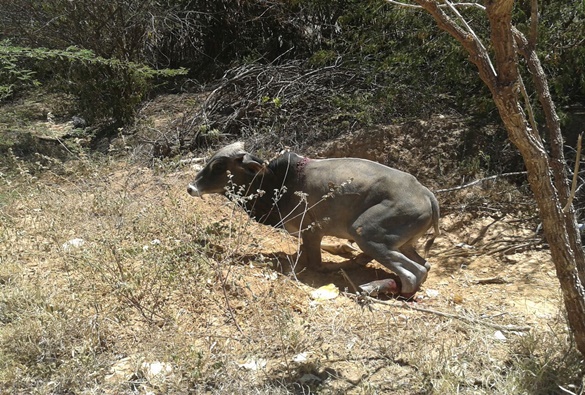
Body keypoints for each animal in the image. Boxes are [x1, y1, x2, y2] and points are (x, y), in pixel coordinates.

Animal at [187, 142, 438, 296]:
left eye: (219, 165)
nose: (191, 188)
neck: (277, 181)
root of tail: (426, 193)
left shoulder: (311, 231)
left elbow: (317, 264)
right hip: (402, 244)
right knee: (424, 265)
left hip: (365, 233)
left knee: (414, 274)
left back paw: (370, 284)